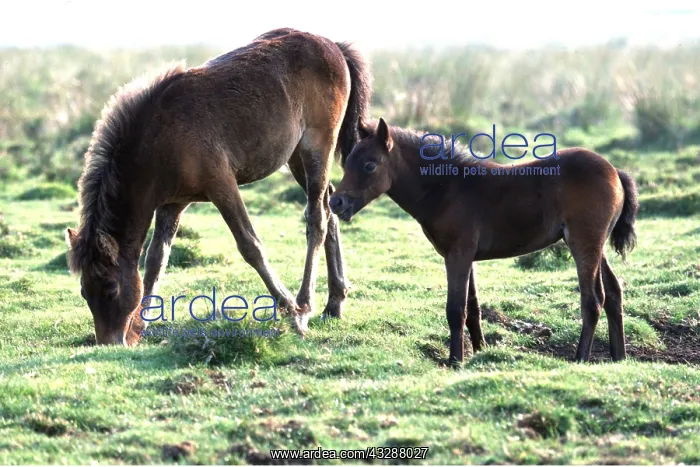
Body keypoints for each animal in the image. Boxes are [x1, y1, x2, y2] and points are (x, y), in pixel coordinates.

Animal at [65, 28, 372, 345]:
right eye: (84, 292)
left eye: (111, 288)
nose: (109, 343)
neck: (161, 136)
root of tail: (332, 45)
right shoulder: (172, 203)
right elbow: (156, 260)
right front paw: (139, 327)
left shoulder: (222, 185)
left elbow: (250, 246)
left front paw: (291, 312)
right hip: (297, 157)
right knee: (329, 206)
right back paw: (334, 302)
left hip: (317, 148)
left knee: (317, 219)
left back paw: (305, 304)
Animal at [329, 118, 639, 365]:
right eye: (348, 162)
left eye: (370, 165)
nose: (336, 202)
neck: (446, 189)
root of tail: (615, 171)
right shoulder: (468, 257)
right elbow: (473, 308)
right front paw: (480, 351)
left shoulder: (458, 254)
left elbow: (455, 309)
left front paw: (455, 360)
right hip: (596, 247)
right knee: (614, 293)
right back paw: (619, 357)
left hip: (583, 244)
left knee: (593, 299)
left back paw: (580, 358)